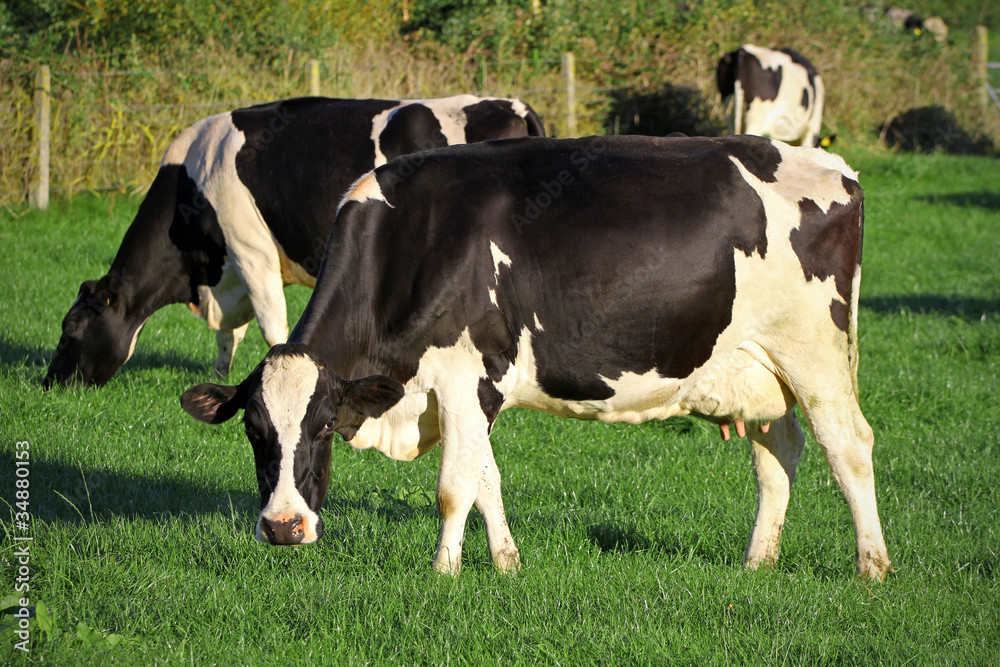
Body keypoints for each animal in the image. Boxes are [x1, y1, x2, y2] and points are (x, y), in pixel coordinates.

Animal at [45, 92, 548, 388]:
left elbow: (271, 325)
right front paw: (220, 374)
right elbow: (229, 335)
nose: (49, 384)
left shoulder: (252, 253)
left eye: (71, 329)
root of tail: (511, 104)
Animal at [184, 134, 896, 580]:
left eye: (325, 424)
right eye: (253, 431)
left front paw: (443, 573)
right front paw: (506, 563)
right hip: (756, 366)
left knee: (849, 447)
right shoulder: (470, 389)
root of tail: (832, 165)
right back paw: (757, 562)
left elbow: (453, 487)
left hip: (816, 354)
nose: (283, 527)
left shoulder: (467, 377)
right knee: (780, 454)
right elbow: (486, 479)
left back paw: (872, 567)